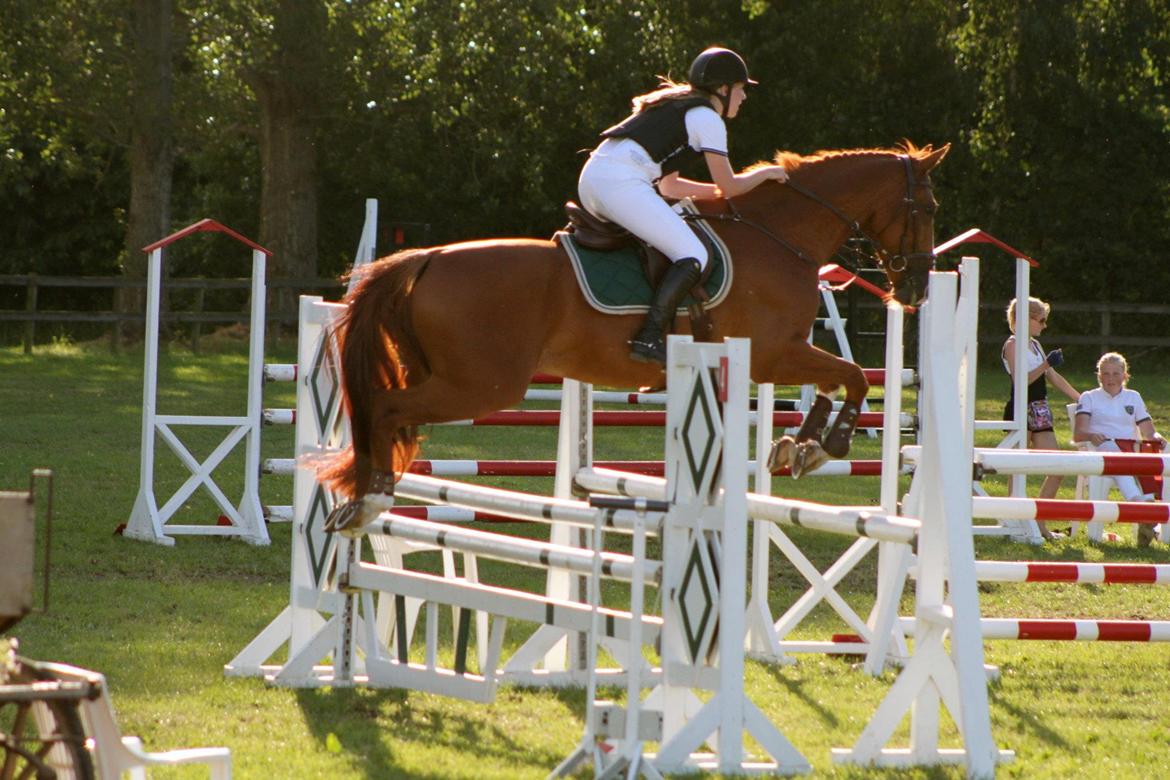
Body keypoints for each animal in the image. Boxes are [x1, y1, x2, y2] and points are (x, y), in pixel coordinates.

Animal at [322, 143, 950, 530]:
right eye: (928, 207)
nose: (917, 286)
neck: (779, 234)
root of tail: (427, 258)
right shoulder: (773, 355)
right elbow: (851, 376)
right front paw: (829, 444)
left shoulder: (779, 356)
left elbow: (835, 380)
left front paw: (799, 447)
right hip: (481, 386)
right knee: (385, 408)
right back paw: (370, 496)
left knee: (387, 410)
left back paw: (361, 499)